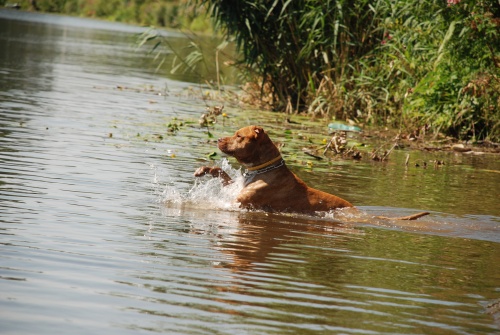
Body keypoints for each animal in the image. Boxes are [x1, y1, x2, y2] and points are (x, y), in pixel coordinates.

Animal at [193, 126, 428, 220]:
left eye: (239, 136)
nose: (218, 139)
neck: (261, 169)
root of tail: (358, 211)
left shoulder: (239, 201)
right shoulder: (234, 188)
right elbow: (220, 172)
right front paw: (202, 169)